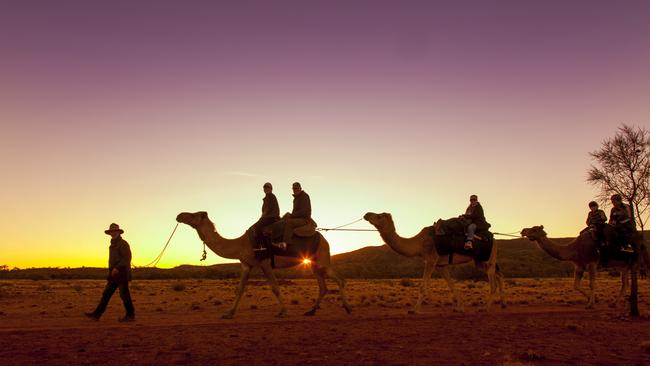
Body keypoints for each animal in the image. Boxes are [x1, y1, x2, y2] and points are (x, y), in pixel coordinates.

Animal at [176, 212, 350, 318]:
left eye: (194, 215)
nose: (179, 215)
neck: (241, 244)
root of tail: (324, 239)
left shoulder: (265, 263)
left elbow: (275, 287)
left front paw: (283, 312)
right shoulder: (247, 265)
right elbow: (240, 289)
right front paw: (229, 313)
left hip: (322, 260)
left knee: (339, 280)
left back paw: (348, 308)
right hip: (314, 264)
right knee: (323, 287)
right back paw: (311, 311)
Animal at [362, 213, 504, 314]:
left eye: (379, 216)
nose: (367, 214)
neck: (419, 243)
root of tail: (495, 240)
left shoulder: (430, 259)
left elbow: (422, 287)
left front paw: (414, 310)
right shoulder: (440, 265)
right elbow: (451, 285)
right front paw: (460, 308)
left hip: (489, 258)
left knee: (493, 281)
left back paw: (484, 308)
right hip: (479, 260)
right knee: (498, 274)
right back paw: (503, 304)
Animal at [516, 224, 648, 308]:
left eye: (534, 229)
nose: (523, 230)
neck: (574, 249)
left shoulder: (592, 262)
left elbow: (591, 284)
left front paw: (590, 304)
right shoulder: (579, 265)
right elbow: (576, 285)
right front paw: (594, 300)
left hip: (634, 262)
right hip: (624, 266)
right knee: (625, 284)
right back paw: (613, 304)